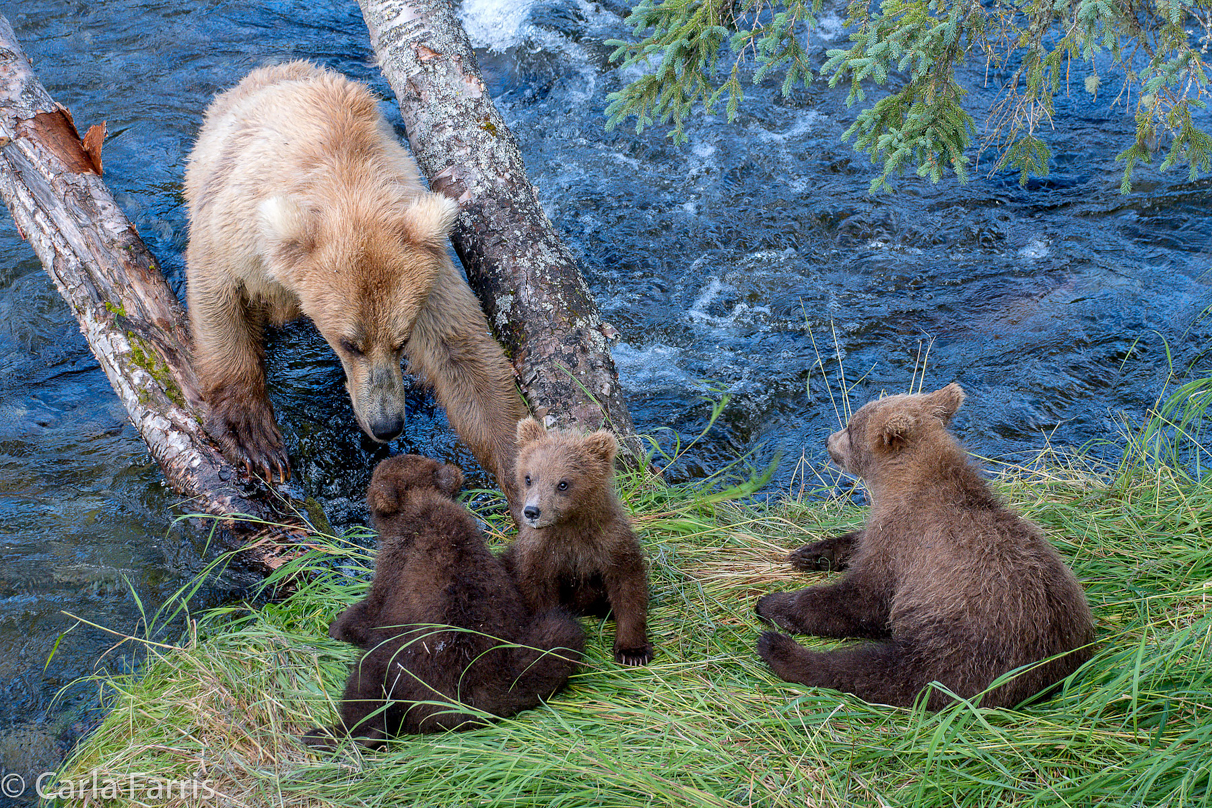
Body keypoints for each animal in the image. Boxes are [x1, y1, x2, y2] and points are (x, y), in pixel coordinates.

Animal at [181, 61, 523, 486]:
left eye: (401, 340)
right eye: (349, 343)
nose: (387, 425)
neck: (347, 182)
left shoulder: (429, 272)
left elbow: (463, 352)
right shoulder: (240, 230)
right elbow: (218, 294)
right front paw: (255, 440)